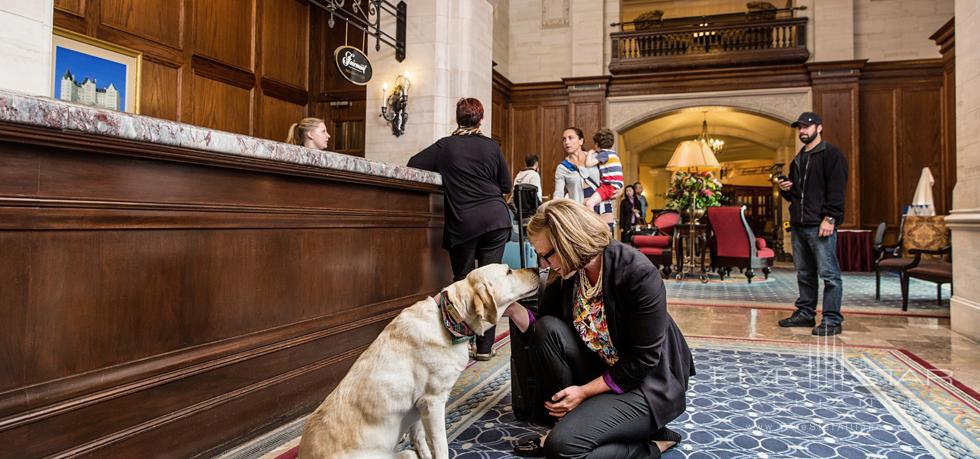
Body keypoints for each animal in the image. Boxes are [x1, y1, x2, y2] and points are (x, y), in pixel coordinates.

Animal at [302, 264, 540, 458]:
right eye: (508, 271)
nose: (537, 268)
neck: (448, 320)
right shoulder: (432, 401)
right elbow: (441, 446)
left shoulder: (417, 406)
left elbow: (419, 440)